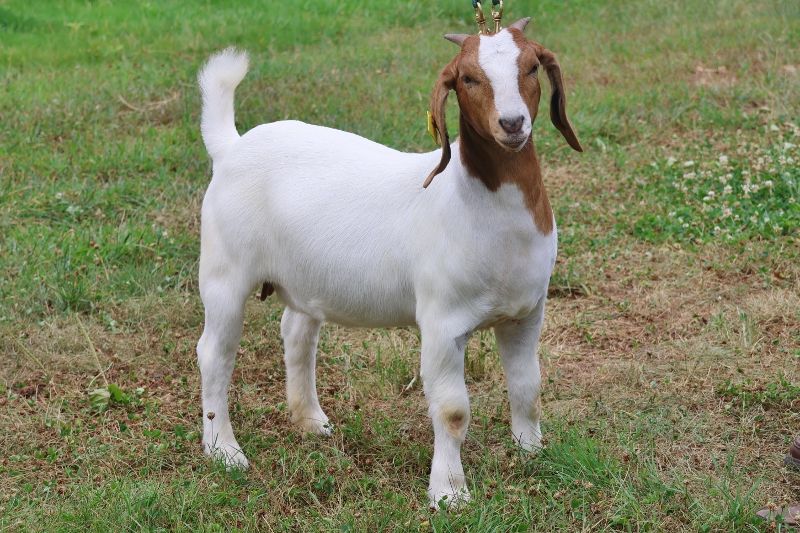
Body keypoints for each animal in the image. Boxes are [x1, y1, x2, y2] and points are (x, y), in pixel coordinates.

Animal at [196, 17, 582, 507]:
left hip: (306, 276)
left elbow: (528, 386)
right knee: (215, 353)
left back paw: (310, 420)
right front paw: (450, 493)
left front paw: (532, 452)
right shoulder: (442, 323)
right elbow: (453, 410)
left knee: (297, 332)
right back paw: (223, 451)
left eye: (532, 66)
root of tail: (231, 147)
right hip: (223, 271)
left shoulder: (527, 312)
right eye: (468, 78)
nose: (512, 123)